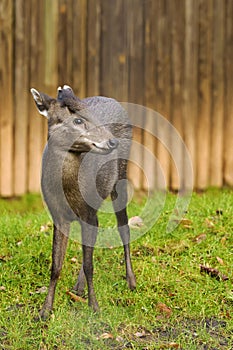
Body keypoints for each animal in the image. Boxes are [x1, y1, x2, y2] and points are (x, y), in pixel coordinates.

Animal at [31, 85, 137, 320]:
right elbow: (56, 265)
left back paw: (131, 281)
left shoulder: (89, 213)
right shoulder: (58, 216)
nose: (112, 141)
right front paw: (44, 311)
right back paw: (78, 287)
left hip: (120, 177)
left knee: (124, 227)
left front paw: (94, 307)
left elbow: (90, 265)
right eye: (77, 120)